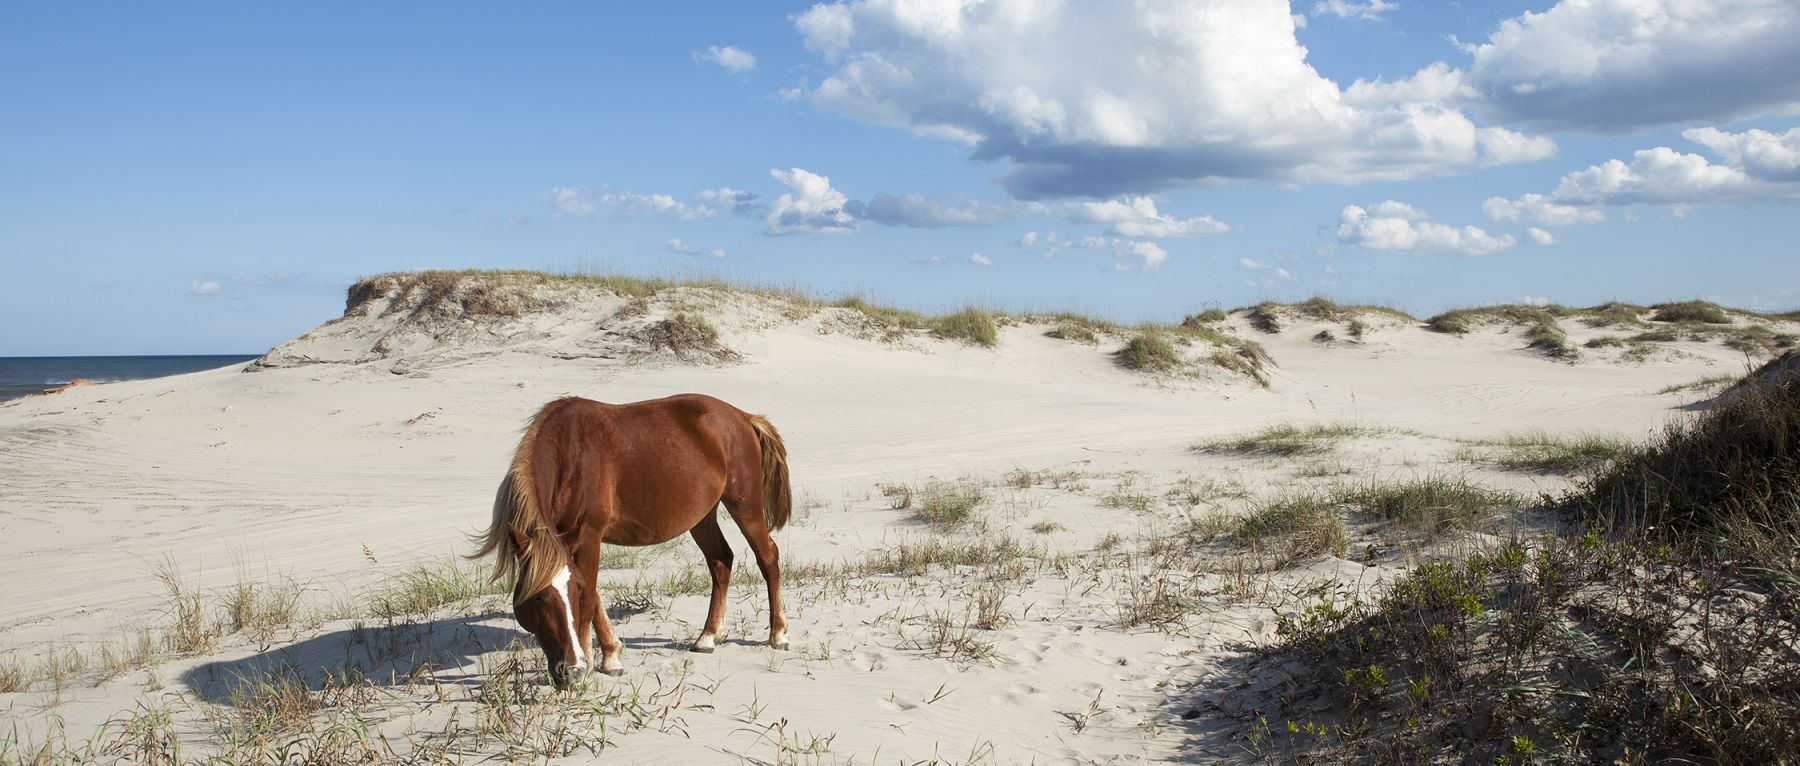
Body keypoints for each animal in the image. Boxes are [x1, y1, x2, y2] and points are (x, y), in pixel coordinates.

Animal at [469, 393, 791, 689]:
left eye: (572, 592)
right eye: (537, 596)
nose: (570, 670)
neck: (570, 454)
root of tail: (743, 417)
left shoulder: (589, 536)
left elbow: (590, 598)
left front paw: (593, 661)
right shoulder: (574, 542)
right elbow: (595, 596)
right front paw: (610, 657)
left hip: (745, 506)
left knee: (768, 557)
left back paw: (778, 634)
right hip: (702, 518)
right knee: (721, 561)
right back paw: (708, 637)